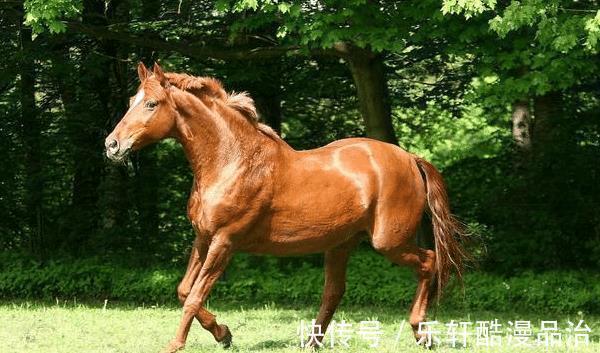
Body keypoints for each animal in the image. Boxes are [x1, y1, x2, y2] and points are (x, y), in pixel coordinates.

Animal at [104, 63, 468, 352]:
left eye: (151, 103)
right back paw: (311, 343)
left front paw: (175, 345)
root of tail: (410, 158)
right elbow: (183, 291)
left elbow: (194, 297)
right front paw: (224, 334)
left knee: (429, 262)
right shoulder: (203, 238)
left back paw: (422, 333)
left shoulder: (224, 242)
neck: (232, 161)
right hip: (341, 244)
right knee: (334, 292)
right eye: (131, 101)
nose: (112, 145)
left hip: (389, 242)